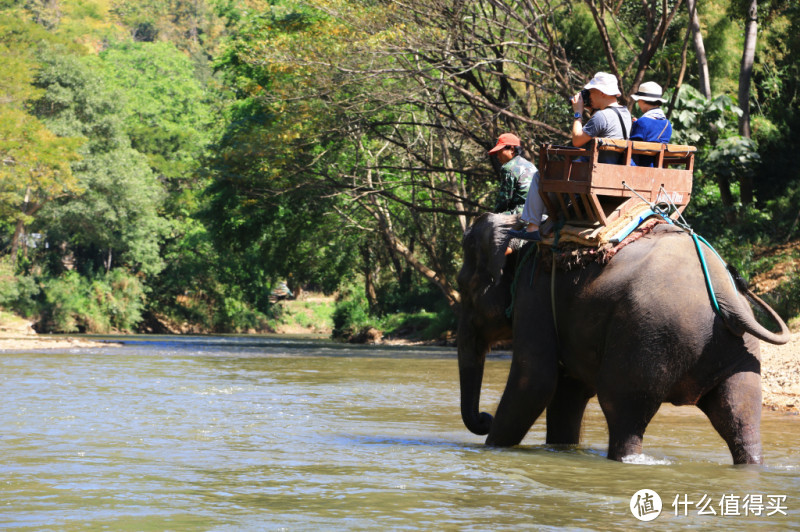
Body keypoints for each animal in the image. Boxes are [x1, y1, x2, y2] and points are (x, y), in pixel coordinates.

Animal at [460, 214, 792, 464]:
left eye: (465, 288)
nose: (484, 418)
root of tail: (727, 296)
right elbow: (568, 391)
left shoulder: (533, 295)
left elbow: (534, 382)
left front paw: (492, 448)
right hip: (738, 352)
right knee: (740, 415)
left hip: (648, 336)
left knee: (623, 409)